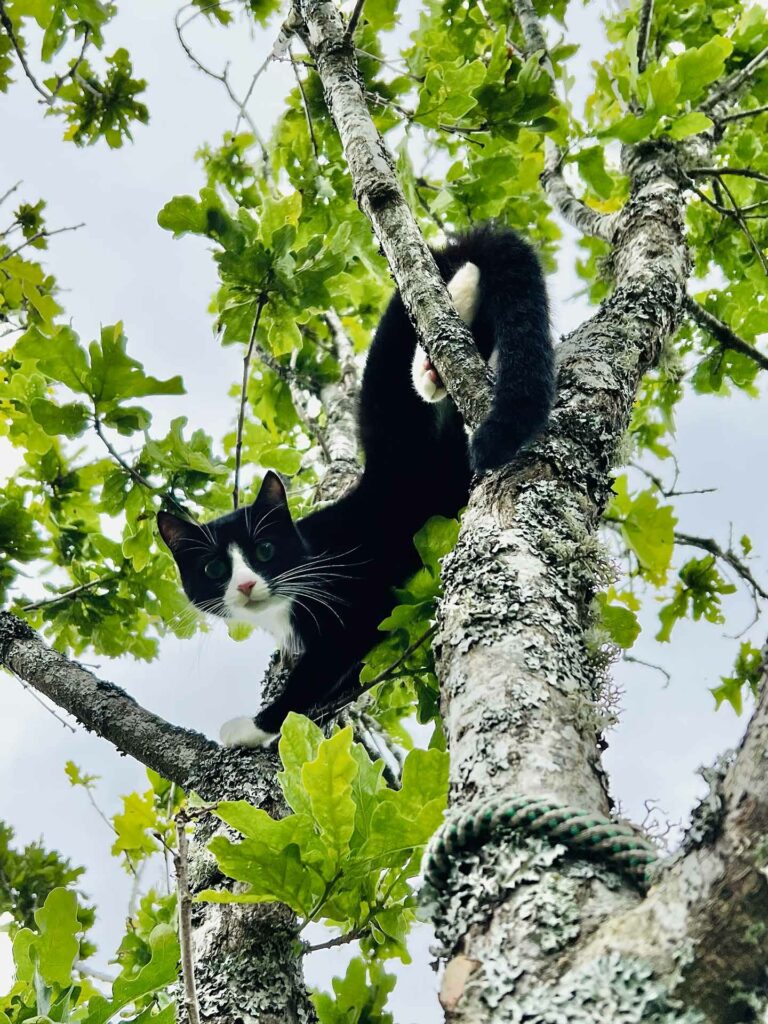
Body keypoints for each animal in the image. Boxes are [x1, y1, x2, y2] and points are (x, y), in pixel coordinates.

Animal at [157, 224, 552, 749]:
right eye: (216, 568)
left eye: (264, 551)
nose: (244, 584)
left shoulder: (353, 597)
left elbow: (316, 672)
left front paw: (253, 725)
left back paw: (456, 304)